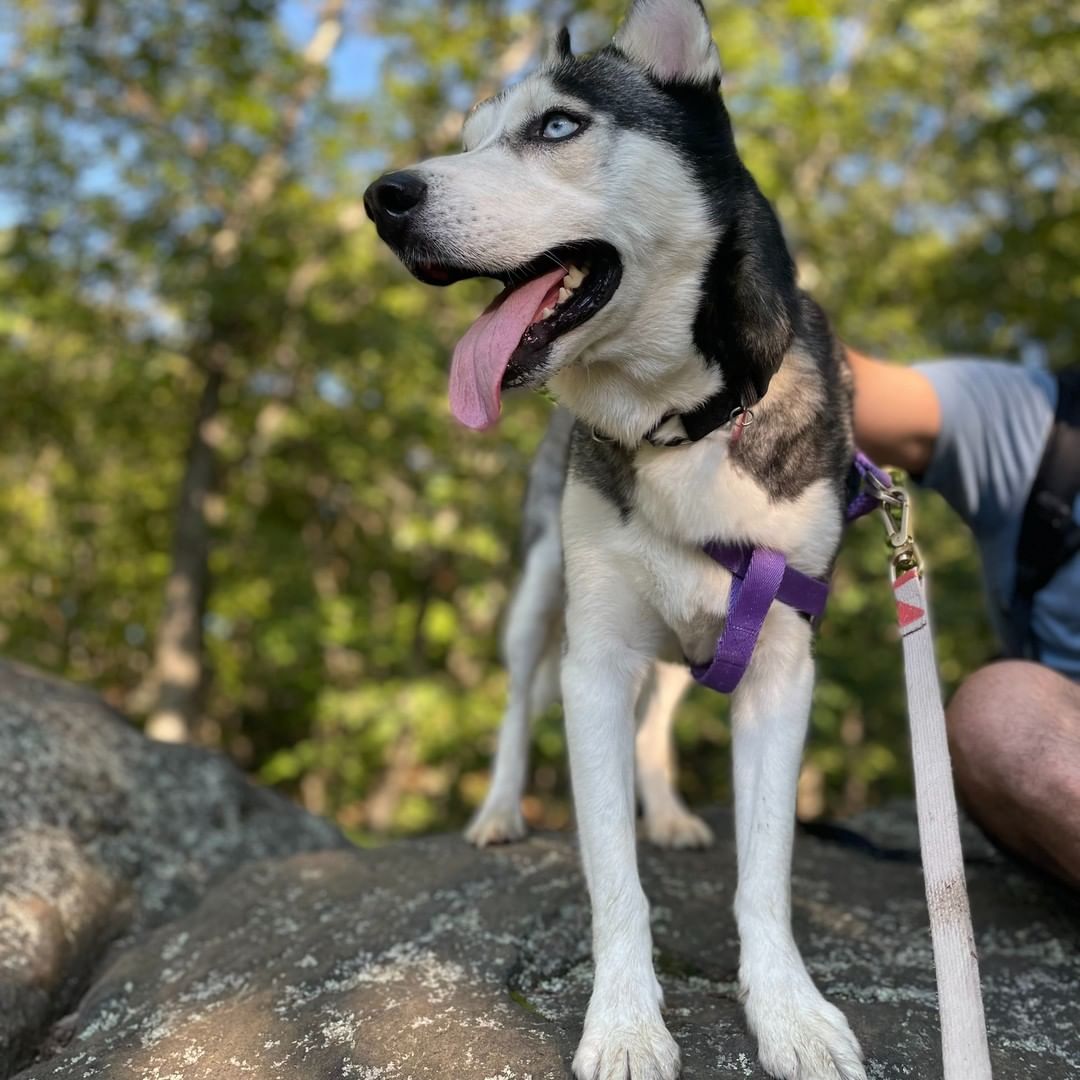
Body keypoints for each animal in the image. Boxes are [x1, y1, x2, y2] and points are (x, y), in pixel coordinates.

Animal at [367, 2, 864, 1080]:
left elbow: (765, 873)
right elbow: (614, 882)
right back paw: (500, 812)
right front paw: (628, 1025)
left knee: (657, 722)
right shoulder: (591, 659)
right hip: (537, 595)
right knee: (518, 700)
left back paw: (670, 814)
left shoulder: (779, 665)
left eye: (557, 126)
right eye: (468, 136)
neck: (685, 421)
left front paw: (790, 1012)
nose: (381, 197)